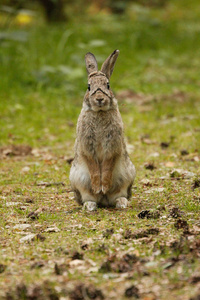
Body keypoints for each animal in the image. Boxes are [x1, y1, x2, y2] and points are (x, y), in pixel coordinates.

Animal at [69, 49, 136, 211]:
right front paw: (97, 187)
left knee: (118, 196)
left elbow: (106, 166)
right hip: (78, 180)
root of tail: (104, 201)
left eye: (108, 85)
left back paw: (120, 202)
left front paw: (103, 187)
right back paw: (90, 205)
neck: (99, 112)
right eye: (89, 87)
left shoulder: (113, 146)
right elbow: (93, 166)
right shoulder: (87, 146)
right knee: (90, 198)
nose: (99, 98)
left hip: (126, 177)